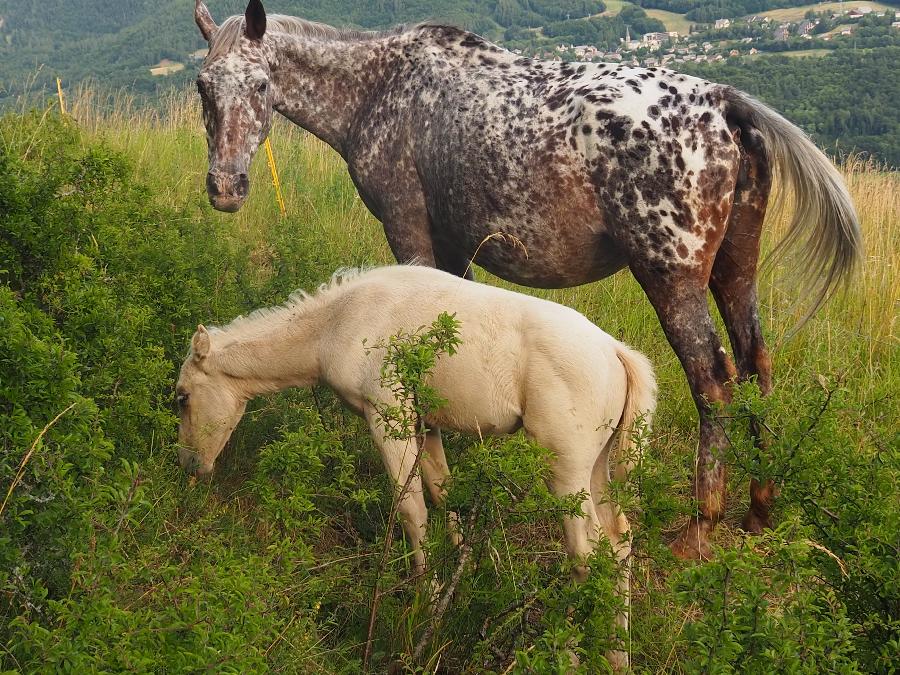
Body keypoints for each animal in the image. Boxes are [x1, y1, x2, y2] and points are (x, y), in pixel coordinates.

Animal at [175, 264, 657, 669]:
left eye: (181, 396)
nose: (190, 466)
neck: (337, 323)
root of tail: (617, 352)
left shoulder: (388, 416)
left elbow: (411, 509)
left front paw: (425, 604)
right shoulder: (428, 425)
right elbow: (445, 495)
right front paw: (467, 576)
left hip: (566, 471)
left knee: (585, 553)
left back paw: (569, 652)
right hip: (597, 468)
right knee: (619, 542)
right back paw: (617, 655)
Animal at [191, 0, 861, 558]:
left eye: (259, 83)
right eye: (202, 86)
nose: (225, 188)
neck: (378, 89)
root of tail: (723, 102)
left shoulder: (409, 231)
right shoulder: (456, 251)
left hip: (672, 277)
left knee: (715, 383)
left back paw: (700, 529)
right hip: (734, 270)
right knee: (756, 369)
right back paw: (758, 511)